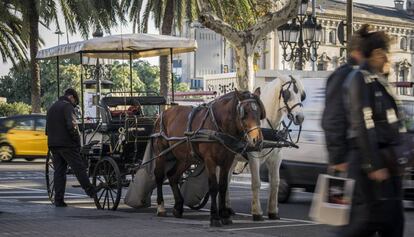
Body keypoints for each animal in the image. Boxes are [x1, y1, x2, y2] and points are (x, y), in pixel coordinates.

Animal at [152, 88, 266, 226]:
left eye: (259, 112)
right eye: (245, 112)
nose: (257, 140)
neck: (218, 127)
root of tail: (163, 113)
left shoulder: (227, 161)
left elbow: (223, 186)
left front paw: (224, 215)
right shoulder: (210, 160)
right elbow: (213, 187)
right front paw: (215, 217)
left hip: (186, 158)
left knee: (173, 176)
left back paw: (178, 207)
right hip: (160, 153)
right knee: (159, 176)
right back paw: (161, 207)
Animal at [226, 75, 304, 220]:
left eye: (301, 95)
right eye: (287, 94)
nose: (300, 117)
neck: (267, 125)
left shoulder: (276, 158)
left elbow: (275, 183)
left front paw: (273, 211)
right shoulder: (254, 157)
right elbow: (256, 183)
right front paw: (257, 212)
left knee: (226, 178)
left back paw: (227, 207)